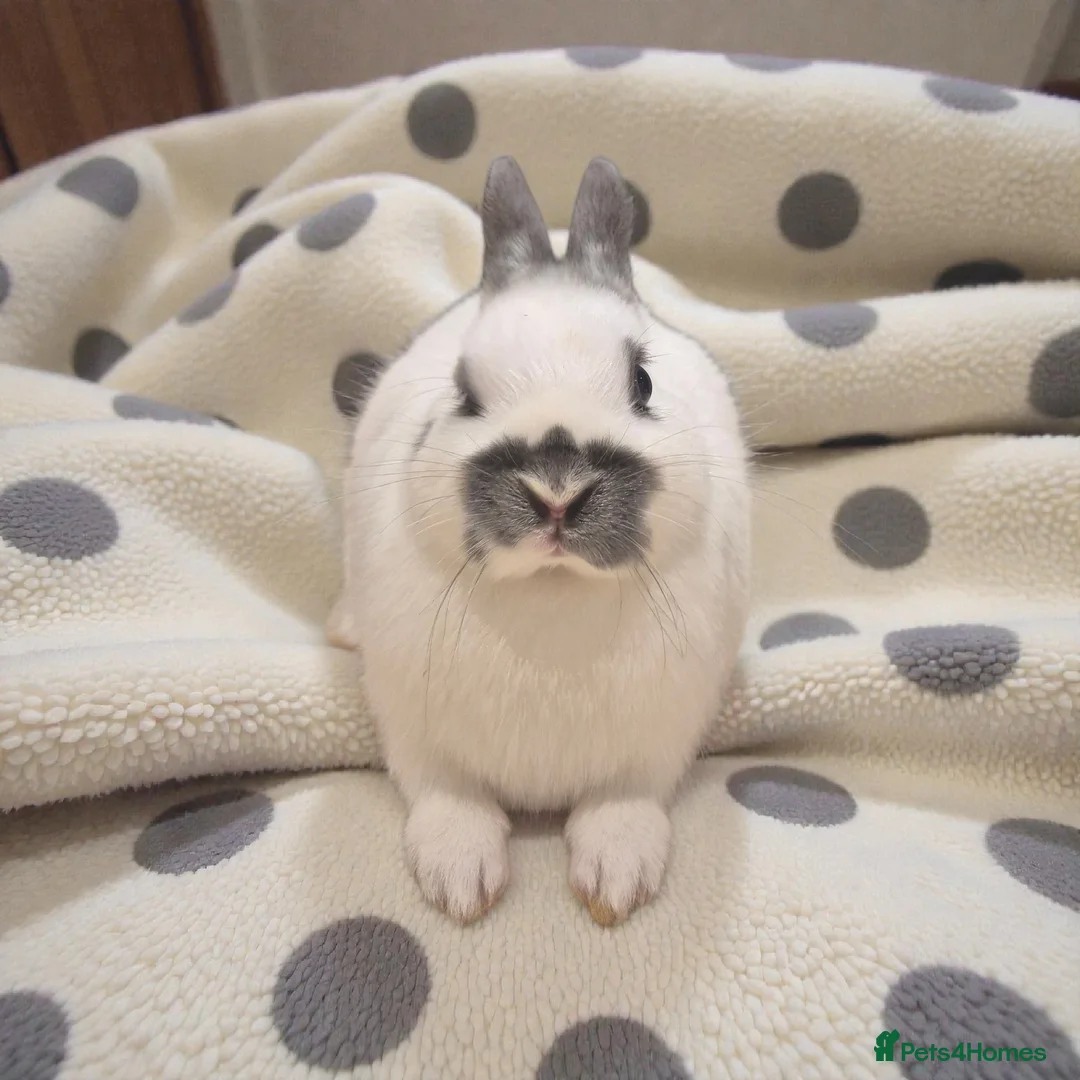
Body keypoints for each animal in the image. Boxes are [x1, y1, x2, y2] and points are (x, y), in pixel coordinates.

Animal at [328, 154, 750, 926]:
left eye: (644, 382)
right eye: (463, 395)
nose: (557, 493)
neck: (553, 595)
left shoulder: (658, 742)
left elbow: (624, 803)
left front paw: (616, 881)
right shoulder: (415, 733)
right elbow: (449, 799)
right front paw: (460, 882)